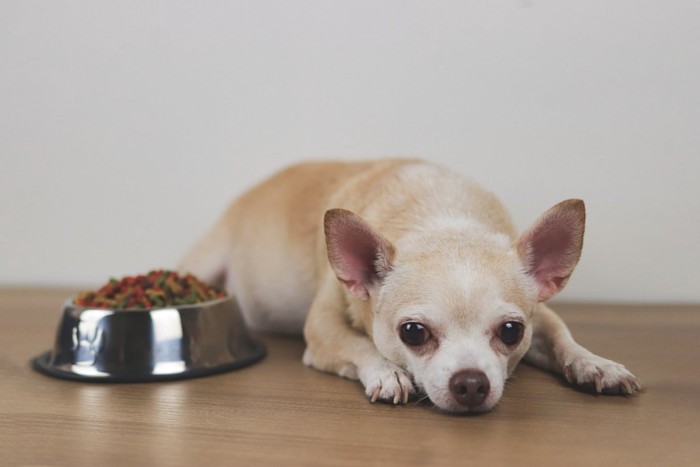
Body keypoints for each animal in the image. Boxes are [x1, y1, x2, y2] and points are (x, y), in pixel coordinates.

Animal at [179, 160, 640, 414]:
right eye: (413, 333)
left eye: (512, 331)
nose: (472, 383)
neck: (440, 217)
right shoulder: (322, 330)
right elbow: (358, 343)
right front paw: (387, 372)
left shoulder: (541, 313)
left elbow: (563, 337)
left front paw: (595, 364)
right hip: (203, 261)